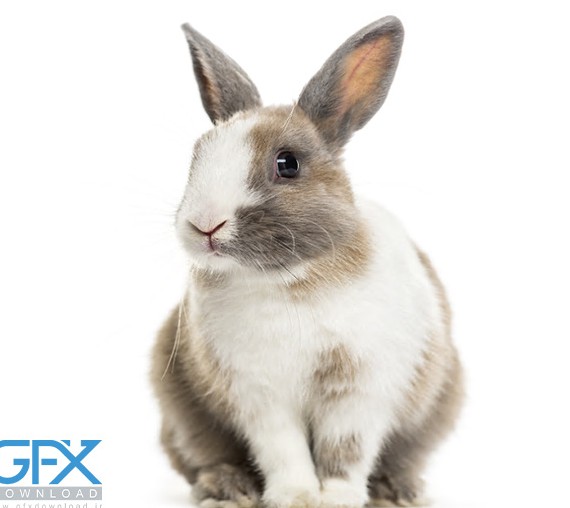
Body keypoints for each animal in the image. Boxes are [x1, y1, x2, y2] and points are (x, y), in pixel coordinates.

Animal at [151, 15, 464, 508]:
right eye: (197, 156)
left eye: (288, 164)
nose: (204, 226)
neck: (287, 282)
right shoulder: (259, 395)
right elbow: (283, 450)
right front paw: (295, 497)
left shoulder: (359, 390)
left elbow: (345, 450)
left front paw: (336, 498)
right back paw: (227, 488)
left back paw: (398, 491)